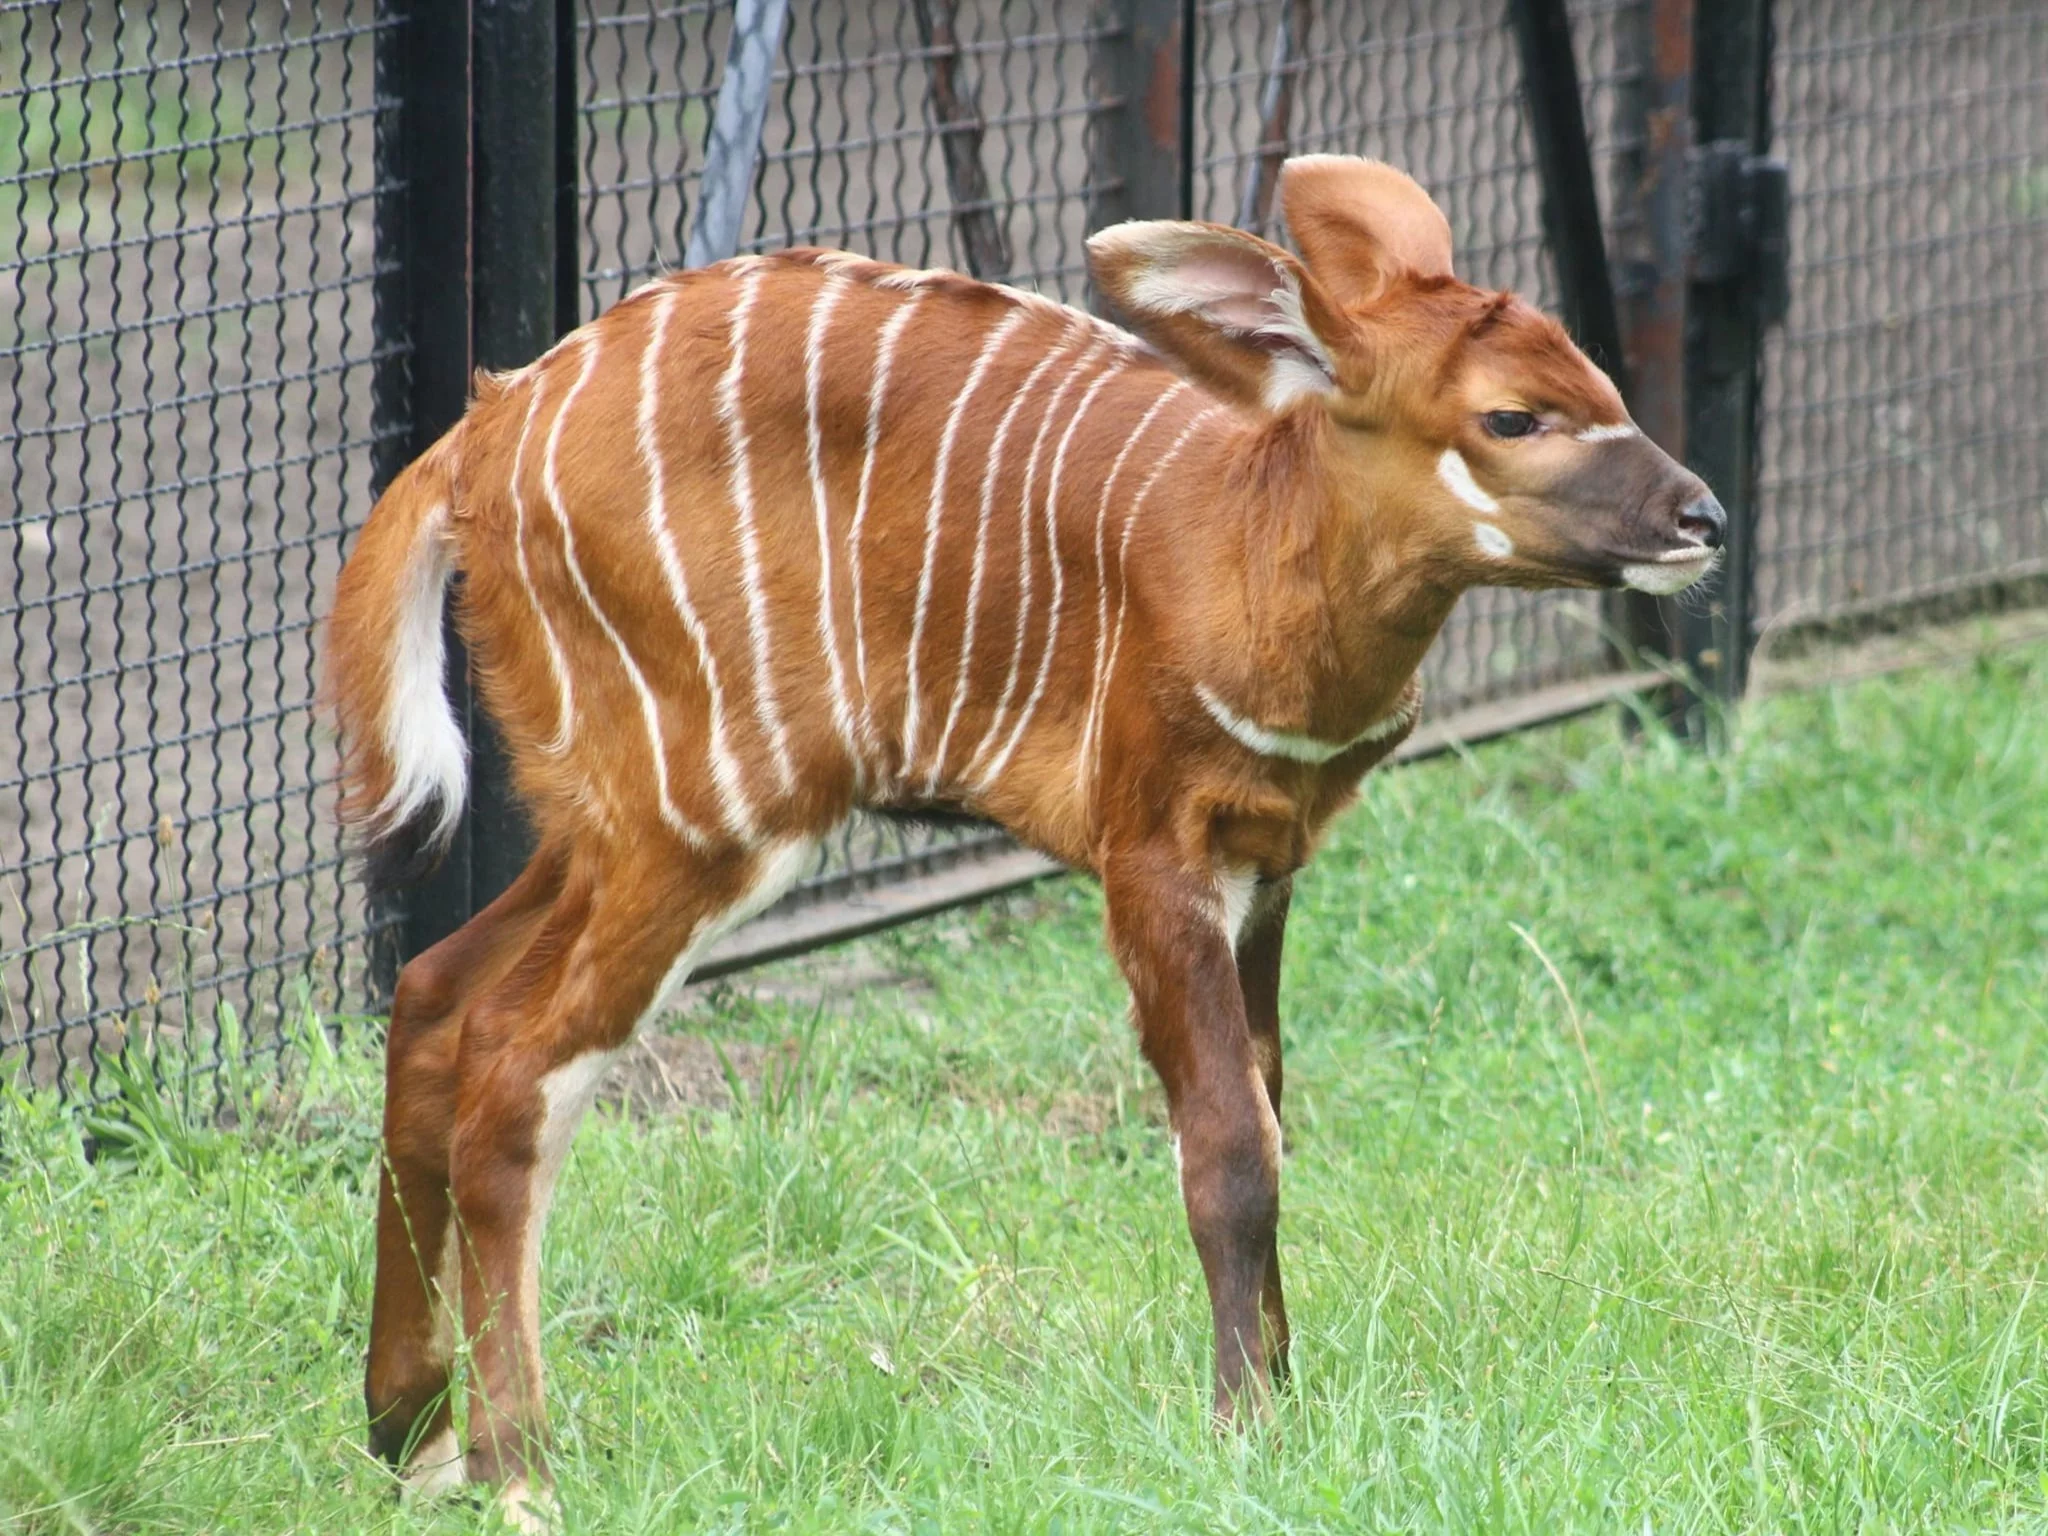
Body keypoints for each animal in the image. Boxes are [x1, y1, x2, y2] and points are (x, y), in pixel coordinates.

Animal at [327, 159, 1720, 1515]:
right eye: (1511, 417)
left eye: (1597, 382)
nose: (1699, 517)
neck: (1245, 540)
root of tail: (484, 434)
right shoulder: (1151, 853)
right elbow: (1228, 1145)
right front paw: (1248, 1433)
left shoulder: (1265, 869)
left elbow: (1268, 1106)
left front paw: (1282, 1395)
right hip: (703, 818)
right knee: (516, 1067)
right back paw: (518, 1471)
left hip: (603, 822)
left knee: (434, 992)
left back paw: (413, 1435)